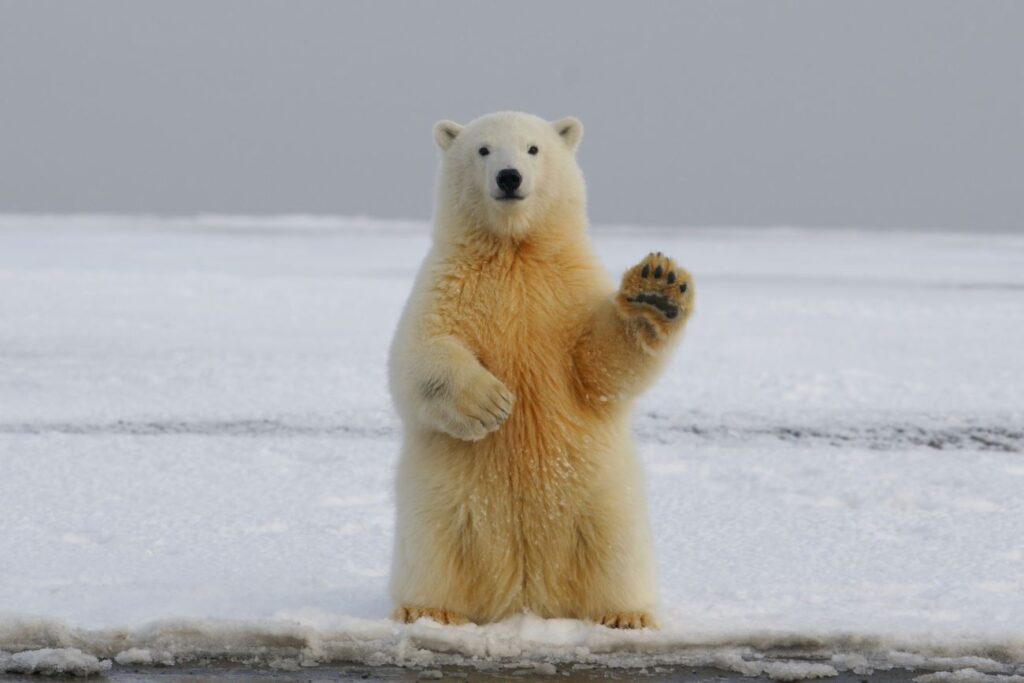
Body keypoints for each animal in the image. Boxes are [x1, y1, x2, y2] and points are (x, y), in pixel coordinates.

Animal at [387, 112, 692, 630]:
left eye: (533, 149)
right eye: (483, 149)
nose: (509, 178)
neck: (514, 251)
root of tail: (526, 597)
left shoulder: (567, 291)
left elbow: (599, 366)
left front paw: (657, 290)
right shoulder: (447, 285)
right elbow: (417, 355)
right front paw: (490, 403)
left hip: (601, 500)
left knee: (616, 552)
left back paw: (625, 615)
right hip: (441, 504)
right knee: (434, 550)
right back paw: (428, 610)